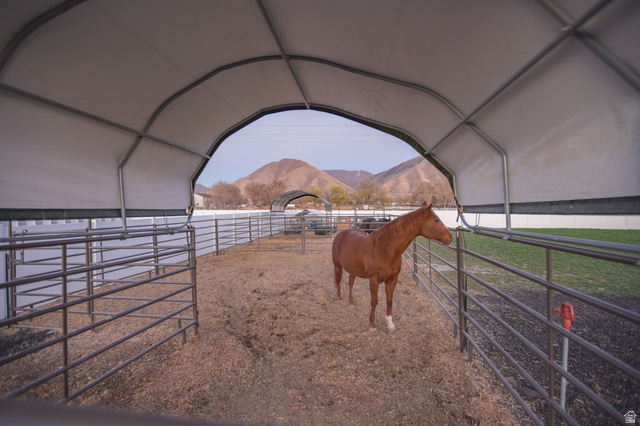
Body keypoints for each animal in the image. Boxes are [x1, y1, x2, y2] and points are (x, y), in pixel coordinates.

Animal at [331, 202, 452, 332]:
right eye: (436, 220)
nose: (450, 237)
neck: (383, 249)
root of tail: (342, 233)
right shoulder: (374, 280)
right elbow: (374, 301)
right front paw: (372, 325)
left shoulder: (392, 280)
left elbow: (389, 301)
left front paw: (390, 324)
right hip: (337, 265)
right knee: (338, 280)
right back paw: (339, 298)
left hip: (353, 269)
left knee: (351, 282)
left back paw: (351, 302)